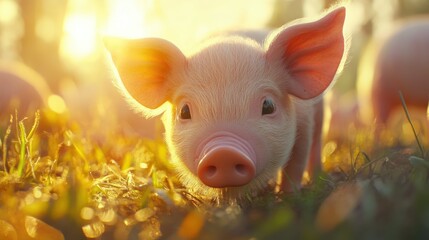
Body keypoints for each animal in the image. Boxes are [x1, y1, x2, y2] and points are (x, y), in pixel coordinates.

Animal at [106, 6, 348, 201]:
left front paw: (289, 198)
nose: (223, 152)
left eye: (268, 106)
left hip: (321, 114)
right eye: (184, 111)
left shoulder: (304, 125)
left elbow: (295, 163)